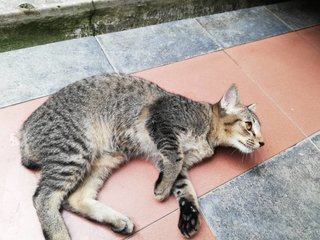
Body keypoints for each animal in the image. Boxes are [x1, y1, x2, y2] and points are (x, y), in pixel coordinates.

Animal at [20, 74, 264, 239]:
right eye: (249, 125)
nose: (262, 142)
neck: (208, 135)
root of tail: (23, 130)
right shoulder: (162, 124)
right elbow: (175, 161)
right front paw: (163, 189)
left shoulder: (169, 158)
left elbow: (185, 187)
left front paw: (189, 214)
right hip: (74, 150)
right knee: (43, 197)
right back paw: (60, 233)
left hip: (104, 159)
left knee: (74, 198)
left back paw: (118, 220)